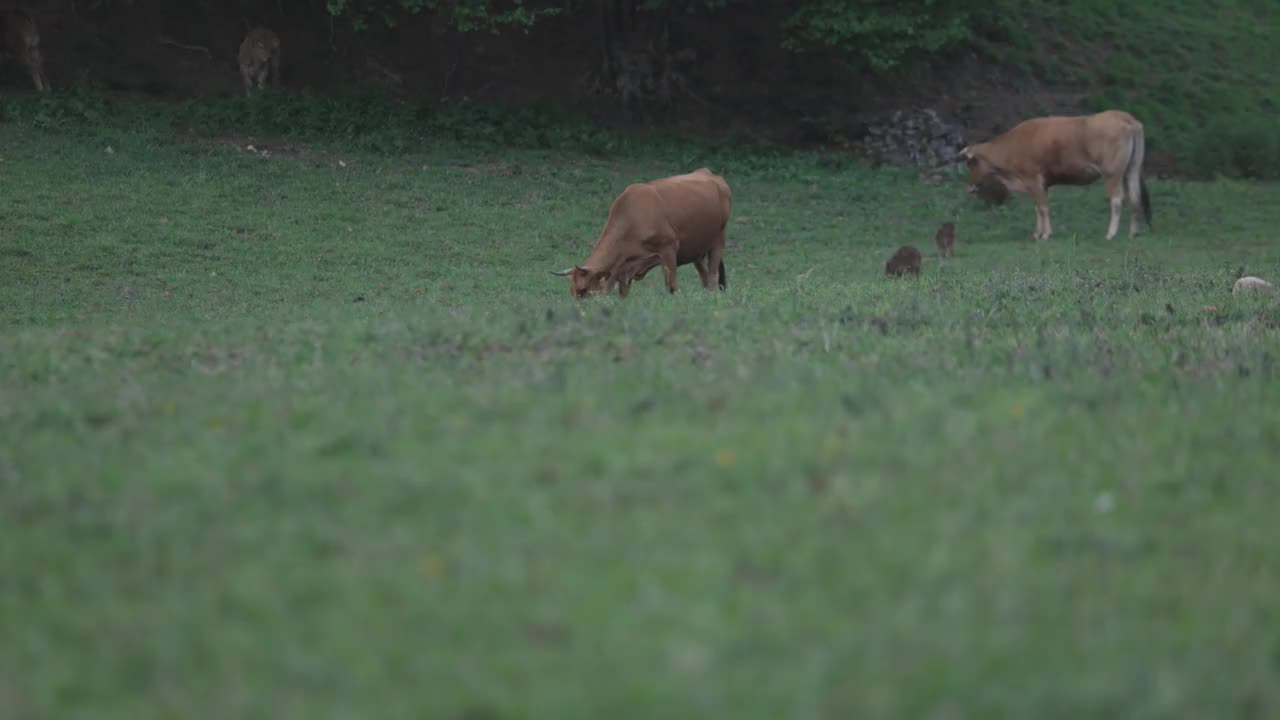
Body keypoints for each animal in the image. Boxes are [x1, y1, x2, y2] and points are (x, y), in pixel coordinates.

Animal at [550, 167, 732, 297]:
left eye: (583, 290)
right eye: (572, 292)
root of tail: (712, 176)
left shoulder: (669, 249)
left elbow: (672, 287)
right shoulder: (623, 267)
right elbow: (621, 291)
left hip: (718, 242)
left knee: (712, 278)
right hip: (697, 251)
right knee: (705, 278)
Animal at [962, 107, 1152, 239]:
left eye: (970, 163)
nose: (969, 188)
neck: (1011, 145)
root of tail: (1124, 116)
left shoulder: (1032, 179)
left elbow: (1043, 207)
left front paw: (1045, 234)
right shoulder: (1041, 184)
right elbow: (1038, 208)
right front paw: (1038, 233)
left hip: (1112, 174)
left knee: (1117, 200)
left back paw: (1111, 233)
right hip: (1131, 170)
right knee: (1135, 197)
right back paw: (1133, 232)